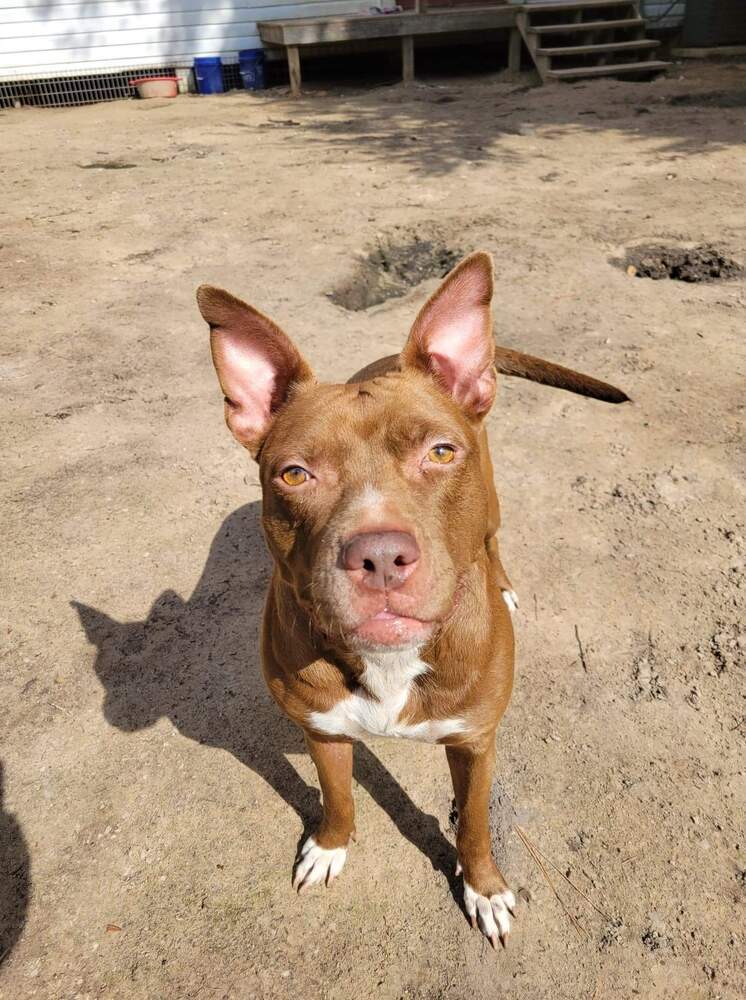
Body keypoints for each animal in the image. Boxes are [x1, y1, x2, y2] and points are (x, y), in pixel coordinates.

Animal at [195, 250, 624, 944]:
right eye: (295, 473)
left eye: (440, 453)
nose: (379, 557)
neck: (390, 662)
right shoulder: (322, 730)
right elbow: (338, 797)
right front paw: (329, 847)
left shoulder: (475, 742)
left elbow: (473, 824)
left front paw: (484, 889)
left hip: (492, 504)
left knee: (492, 539)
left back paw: (503, 585)